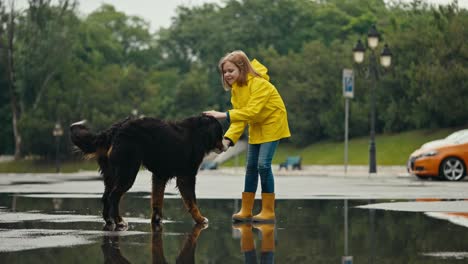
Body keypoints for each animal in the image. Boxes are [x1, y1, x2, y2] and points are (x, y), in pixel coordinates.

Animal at [69, 115, 227, 229]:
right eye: (219, 133)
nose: (227, 145)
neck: (199, 134)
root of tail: (115, 128)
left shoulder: (160, 175)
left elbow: (157, 200)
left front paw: (157, 220)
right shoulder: (186, 176)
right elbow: (192, 202)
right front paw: (200, 219)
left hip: (111, 175)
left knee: (105, 197)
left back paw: (109, 221)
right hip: (127, 171)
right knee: (113, 196)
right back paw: (119, 221)